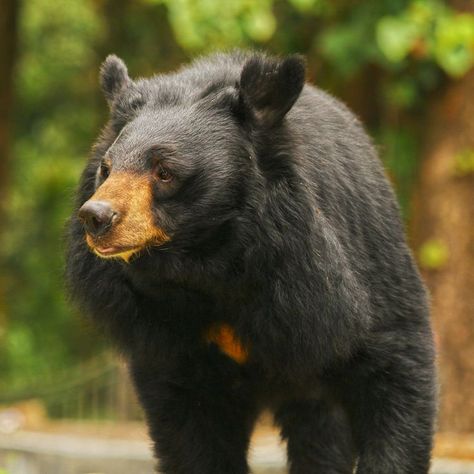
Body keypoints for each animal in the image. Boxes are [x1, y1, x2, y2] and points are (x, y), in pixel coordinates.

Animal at [66, 52, 436, 474]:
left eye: (165, 171)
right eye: (106, 168)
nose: (96, 217)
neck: (208, 262)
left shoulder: (342, 281)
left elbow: (395, 362)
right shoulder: (163, 330)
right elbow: (190, 429)